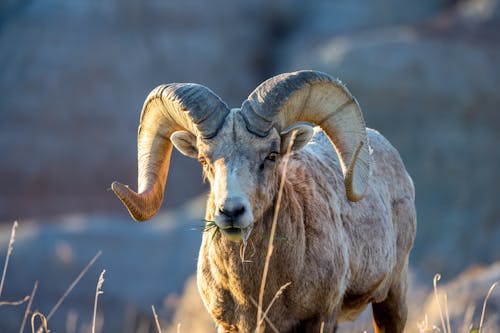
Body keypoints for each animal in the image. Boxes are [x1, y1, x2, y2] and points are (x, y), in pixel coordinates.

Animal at [111, 70, 416, 332]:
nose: (231, 211)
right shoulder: (229, 326)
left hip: (392, 298)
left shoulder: (320, 318)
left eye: (271, 155)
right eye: (203, 159)